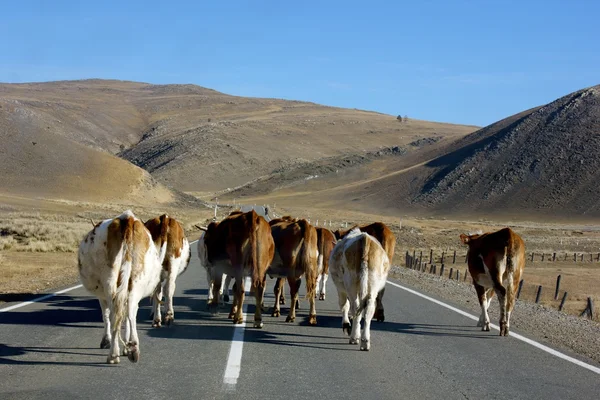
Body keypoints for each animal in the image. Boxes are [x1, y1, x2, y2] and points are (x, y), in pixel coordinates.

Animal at [77, 211, 163, 364]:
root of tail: (127, 218)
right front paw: (126, 348)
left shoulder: (101, 296)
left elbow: (105, 315)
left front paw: (106, 341)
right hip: (135, 280)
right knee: (130, 312)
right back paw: (133, 348)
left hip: (109, 280)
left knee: (114, 314)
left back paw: (113, 354)